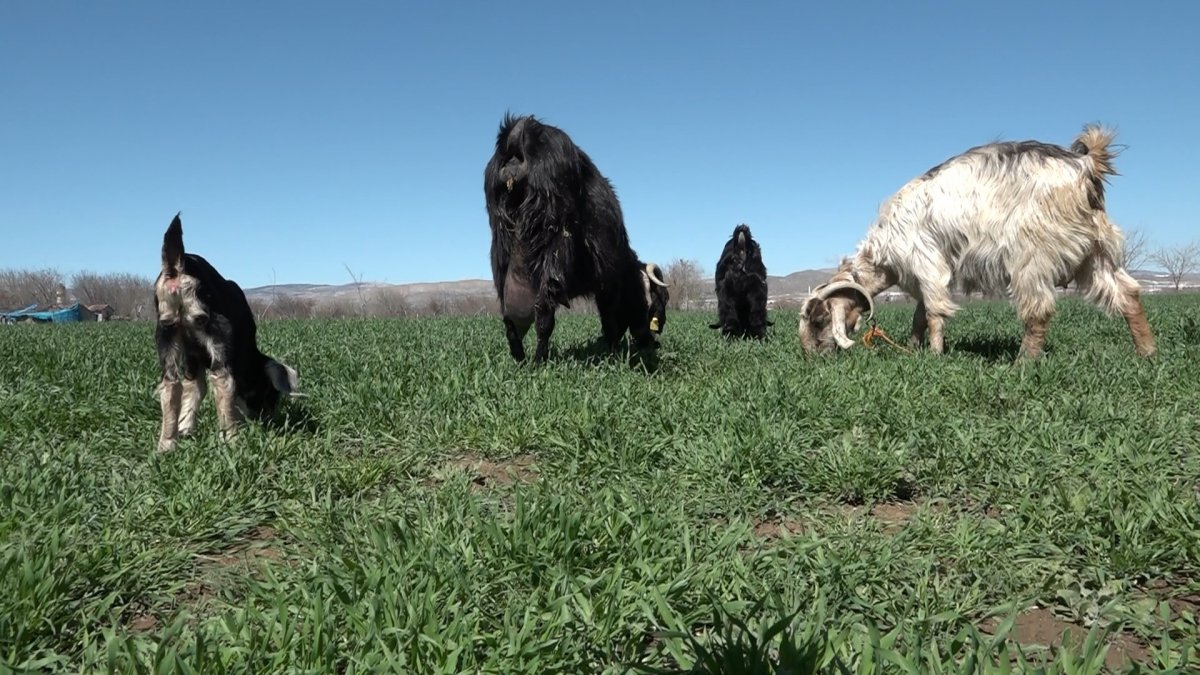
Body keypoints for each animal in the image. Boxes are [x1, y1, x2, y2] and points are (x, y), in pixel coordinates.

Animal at [152, 212, 300, 449]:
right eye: (270, 393)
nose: (268, 418)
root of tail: (177, 268)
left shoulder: (192, 359)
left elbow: (195, 389)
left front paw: (185, 429)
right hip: (214, 326)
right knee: (222, 379)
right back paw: (231, 438)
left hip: (167, 330)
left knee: (170, 385)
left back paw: (166, 445)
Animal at [482, 112, 672, 360]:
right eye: (662, 298)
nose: (655, 338)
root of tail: (522, 129)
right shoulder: (608, 283)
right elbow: (610, 321)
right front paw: (612, 353)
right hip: (554, 245)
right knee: (544, 313)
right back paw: (539, 361)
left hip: (501, 248)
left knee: (510, 321)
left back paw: (521, 359)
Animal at [801, 124, 1156, 360]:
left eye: (819, 320)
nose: (810, 354)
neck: (883, 254)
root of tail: (1085, 165)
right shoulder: (924, 276)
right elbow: (920, 315)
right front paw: (914, 348)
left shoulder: (927, 263)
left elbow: (934, 313)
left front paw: (934, 356)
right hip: (1095, 253)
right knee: (1128, 295)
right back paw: (1147, 354)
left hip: (1034, 254)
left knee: (1038, 311)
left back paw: (1022, 365)